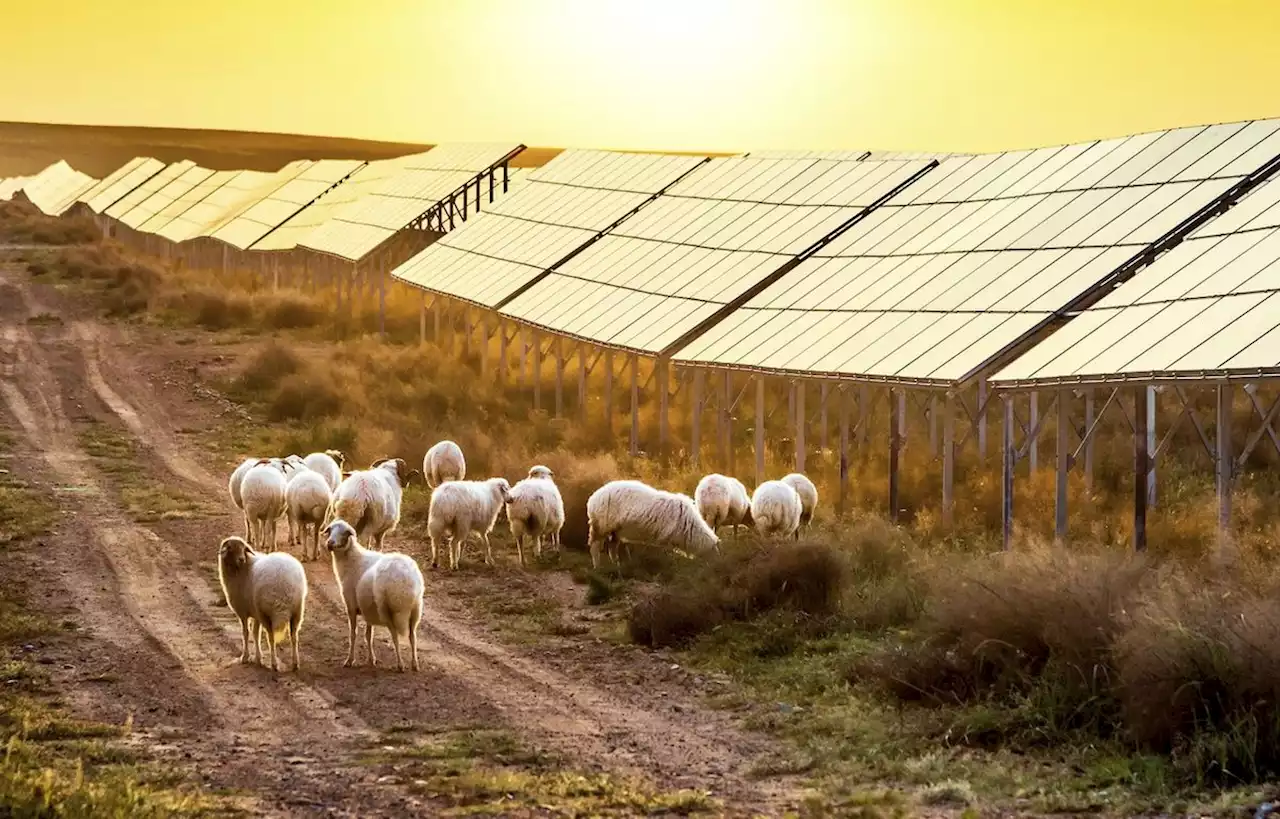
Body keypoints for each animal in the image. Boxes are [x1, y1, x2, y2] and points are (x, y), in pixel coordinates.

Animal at [218, 537, 308, 670]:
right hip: (297, 611)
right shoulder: (255, 613)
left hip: (267, 612)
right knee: (294, 637)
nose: (241, 559)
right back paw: (295, 663)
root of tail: (285, 588)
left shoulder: (244, 611)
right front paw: (257, 658)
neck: (243, 568)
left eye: (243, 548)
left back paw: (274, 663)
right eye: (230, 548)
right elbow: (255, 634)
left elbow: (246, 633)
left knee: (271, 638)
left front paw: (245, 657)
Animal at [322, 516, 422, 670]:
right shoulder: (367, 608)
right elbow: (368, 635)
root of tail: (406, 583)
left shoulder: (351, 606)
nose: (329, 543)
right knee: (413, 636)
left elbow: (353, 634)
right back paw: (415, 663)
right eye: (330, 530)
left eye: (345, 533)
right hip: (415, 610)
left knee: (395, 636)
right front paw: (371, 659)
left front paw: (350, 660)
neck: (351, 559)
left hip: (388, 609)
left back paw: (400, 664)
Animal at [586, 481, 721, 568]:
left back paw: (616, 565)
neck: (690, 529)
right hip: (601, 526)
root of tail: (593, 499)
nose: (718, 567)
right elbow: (667, 554)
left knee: (612, 548)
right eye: (714, 553)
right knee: (594, 545)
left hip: (615, 531)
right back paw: (597, 566)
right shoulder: (666, 537)